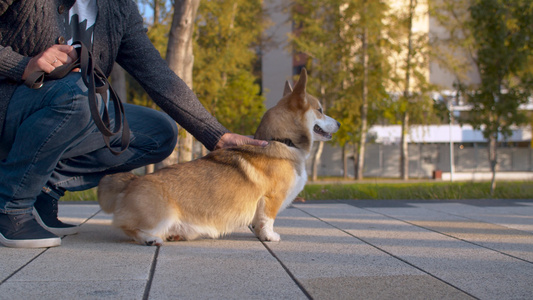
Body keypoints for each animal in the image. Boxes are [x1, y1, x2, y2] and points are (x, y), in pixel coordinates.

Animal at [97, 68, 338, 246]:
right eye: (320, 109)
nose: (338, 123)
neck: (282, 141)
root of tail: (131, 182)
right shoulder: (271, 198)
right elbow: (267, 221)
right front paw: (270, 237)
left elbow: (258, 223)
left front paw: (261, 235)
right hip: (162, 215)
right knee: (128, 228)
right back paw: (150, 239)